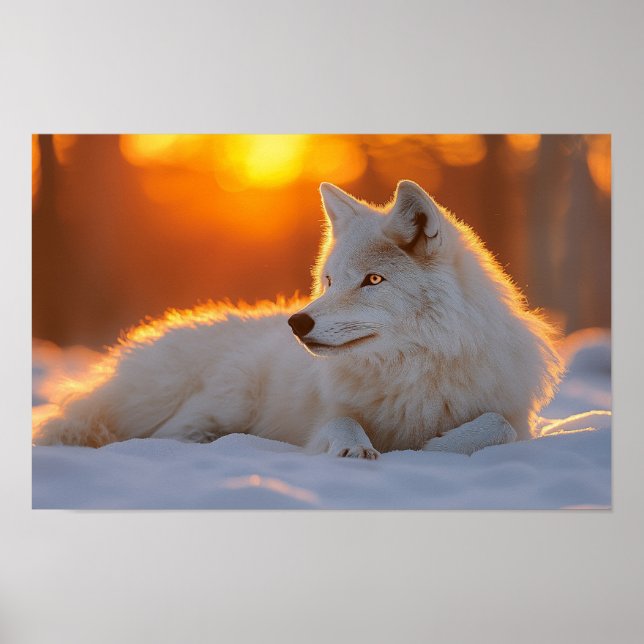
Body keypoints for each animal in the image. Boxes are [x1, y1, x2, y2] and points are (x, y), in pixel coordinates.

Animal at [33, 180, 563, 458]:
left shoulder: (515, 417)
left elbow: (498, 425)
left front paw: (436, 449)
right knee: (166, 435)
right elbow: (340, 423)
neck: (411, 374)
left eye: (372, 280)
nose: (297, 323)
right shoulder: (326, 416)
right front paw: (353, 449)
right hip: (227, 395)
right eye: (328, 281)